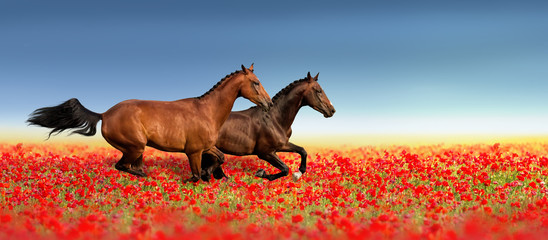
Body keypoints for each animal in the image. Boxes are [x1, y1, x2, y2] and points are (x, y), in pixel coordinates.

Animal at [27, 63, 272, 182]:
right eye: (255, 82)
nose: (268, 103)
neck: (207, 111)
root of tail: (104, 114)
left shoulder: (206, 147)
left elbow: (220, 158)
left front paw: (210, 173)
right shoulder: (193, 151)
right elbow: (194, 175)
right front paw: (199, 177)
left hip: (137, 149)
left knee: (130, 167)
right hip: (135, 147)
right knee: (122, 166)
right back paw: (145, 176)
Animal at [202, 72, 334, 181]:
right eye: (318, 90)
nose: (332, 110)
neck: (274, 119)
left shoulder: (282, 146)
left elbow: (302, 151)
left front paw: (298, 174)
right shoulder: (265, 153)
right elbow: (285, 169)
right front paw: (261, 173)